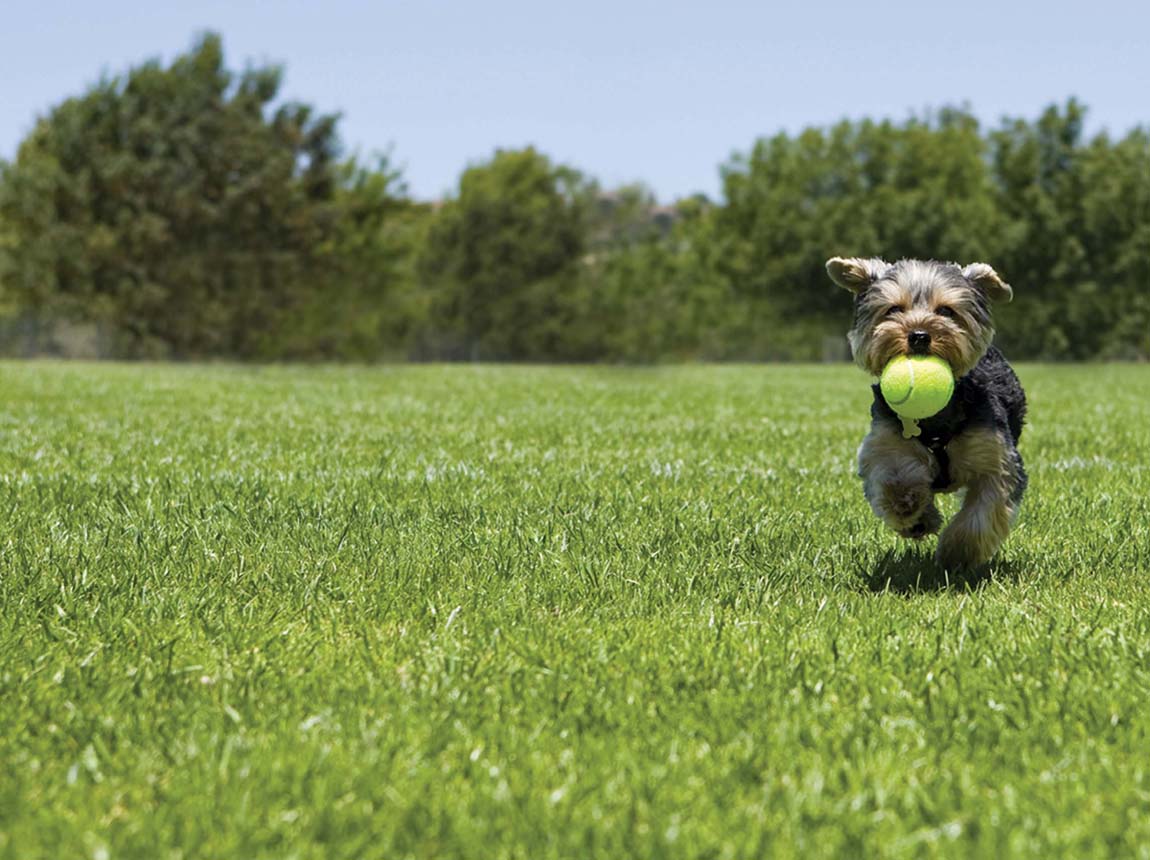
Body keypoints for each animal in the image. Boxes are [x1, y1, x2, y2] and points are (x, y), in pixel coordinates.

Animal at [823, 255, 1030, 570]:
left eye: (946, 310)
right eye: (894, 309)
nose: (919, 335)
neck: (936, 418)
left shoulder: (996, 454)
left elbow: (984, 511)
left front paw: (957, 553)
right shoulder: (887, 439)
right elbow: (894, 477)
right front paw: (914, 512)